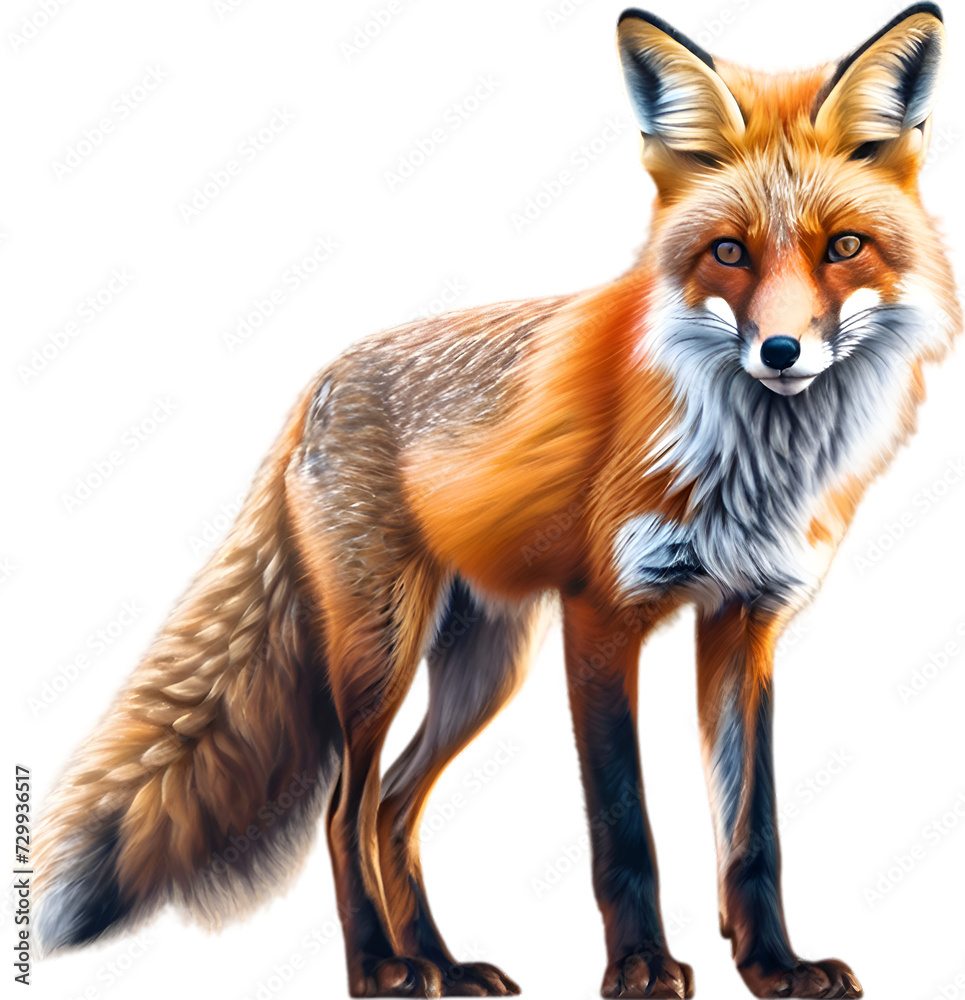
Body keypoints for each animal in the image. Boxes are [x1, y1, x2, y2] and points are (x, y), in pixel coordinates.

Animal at [34, 5, 961, 999]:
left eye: (843, 247)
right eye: (727, 253)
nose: (781, 352)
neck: (751, 463)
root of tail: (317, 385)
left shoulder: (743, 622)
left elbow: (753, 833)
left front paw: (773, 966)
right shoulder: (601, 616)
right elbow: (623, 830)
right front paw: (639, 967)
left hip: (483, 667)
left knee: (391, 809)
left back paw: (442, 963)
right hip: (380, 652)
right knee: (343, 810)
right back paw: (381, 967)